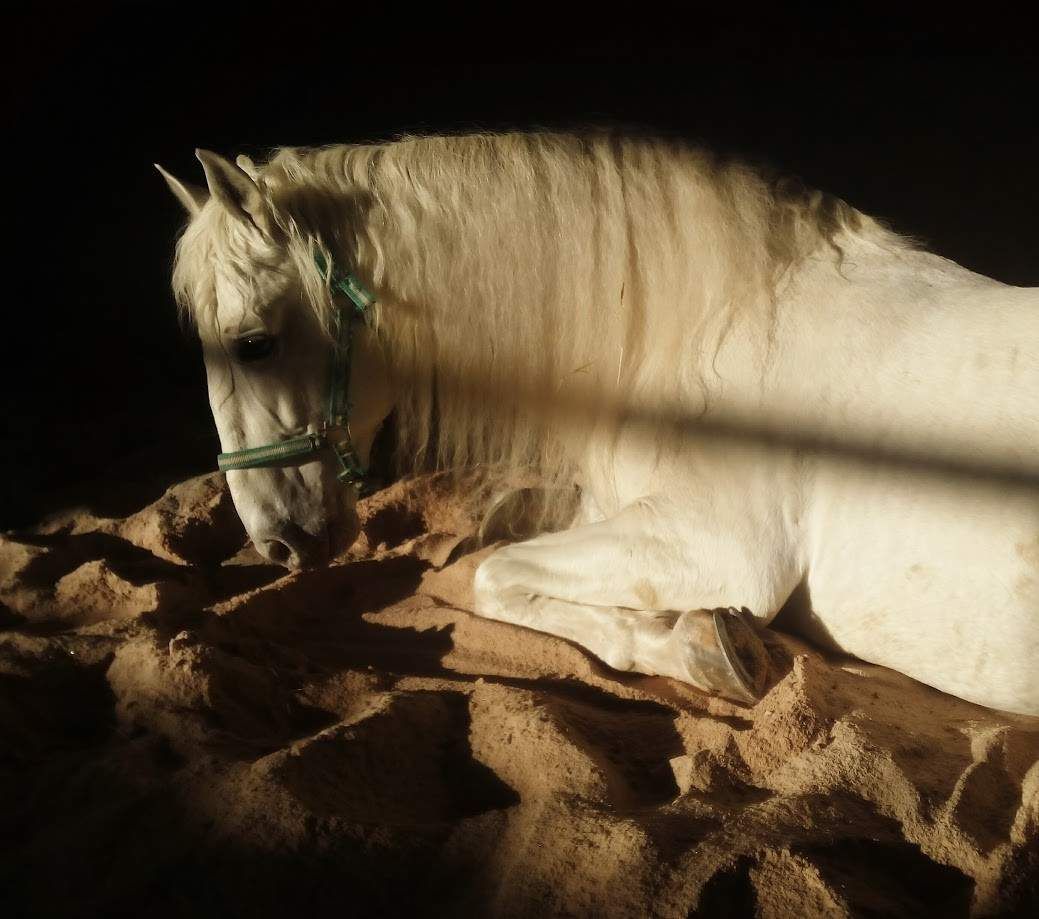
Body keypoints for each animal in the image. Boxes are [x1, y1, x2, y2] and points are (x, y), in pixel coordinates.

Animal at [157, 131, 1038, 715]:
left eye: (253, 342)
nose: (275, 541)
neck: (710, 330)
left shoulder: (716, 545)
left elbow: (491, 574)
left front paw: (703, 649)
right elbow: (483, 550)